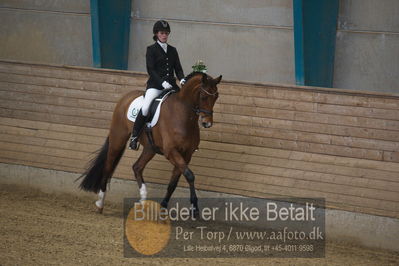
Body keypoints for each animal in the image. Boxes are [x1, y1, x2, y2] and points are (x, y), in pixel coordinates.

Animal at [78, 72, 222, 216]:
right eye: (203, 97)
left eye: (216, 97)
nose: (207, 123)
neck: (183, 116)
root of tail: (125, 97)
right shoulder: (171, 152)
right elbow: (190, 175)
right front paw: (194, 207)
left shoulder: (186, 155)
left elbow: (174, 182)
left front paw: (163, 207)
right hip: (118, 139)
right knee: (108, 167)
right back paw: (100, 203)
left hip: (149, 148)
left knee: (137, 167)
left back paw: (143, 202)